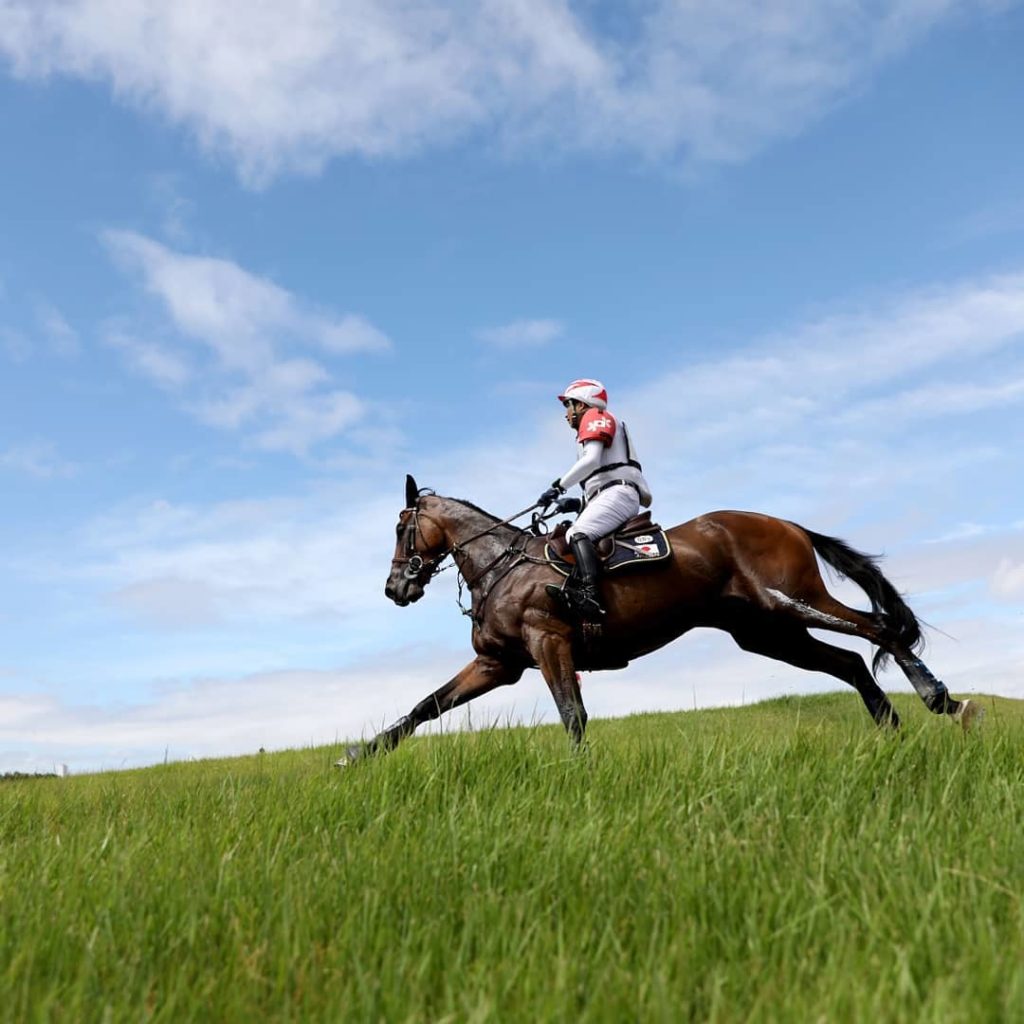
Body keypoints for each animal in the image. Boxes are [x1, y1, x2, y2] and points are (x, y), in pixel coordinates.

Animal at [338, 475, 981, 764]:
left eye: (400, 528)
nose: (395, 588)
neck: (505, 566)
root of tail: (787, 523)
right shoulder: (498, 663)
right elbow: (425, 707)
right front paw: (358, 755)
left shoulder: (549, 644)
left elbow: (572, 715)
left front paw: (580, 775)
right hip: (768, 633)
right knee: (849, 661)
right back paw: (893, 729)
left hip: (789, 603)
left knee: (878, 629)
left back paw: (942, 699)